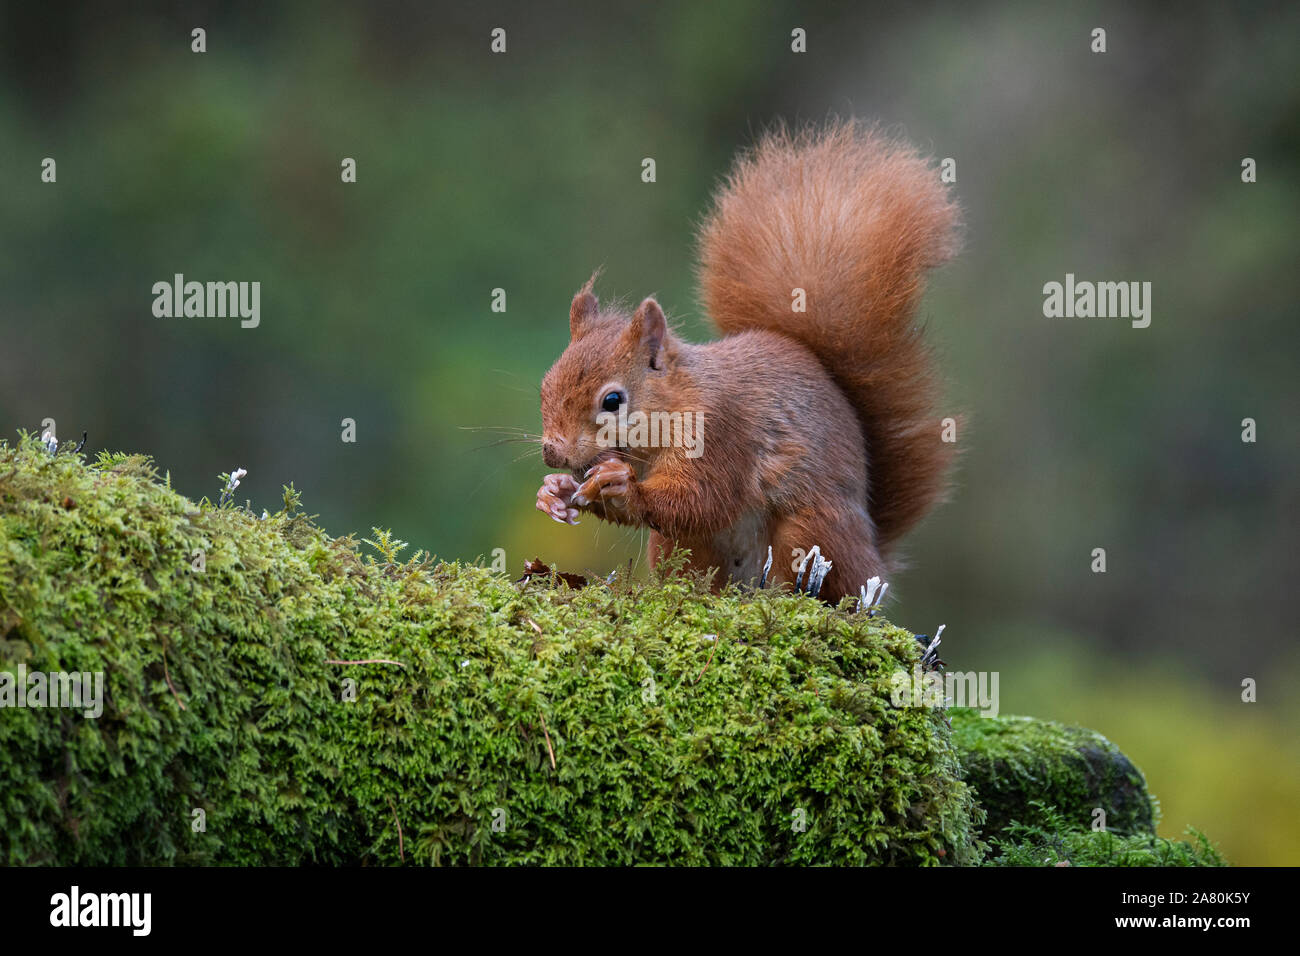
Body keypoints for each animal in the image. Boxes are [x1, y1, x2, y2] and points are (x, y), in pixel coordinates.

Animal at [533, 115, 961, 600]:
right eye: (545, 386)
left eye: (612, 401)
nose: (552, 453)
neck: (675, 404)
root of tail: (873, 556)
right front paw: (552, 491)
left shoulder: (723, 434)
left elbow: (702, 499)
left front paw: (621, 487)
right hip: (678, 548)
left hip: (811, 530)